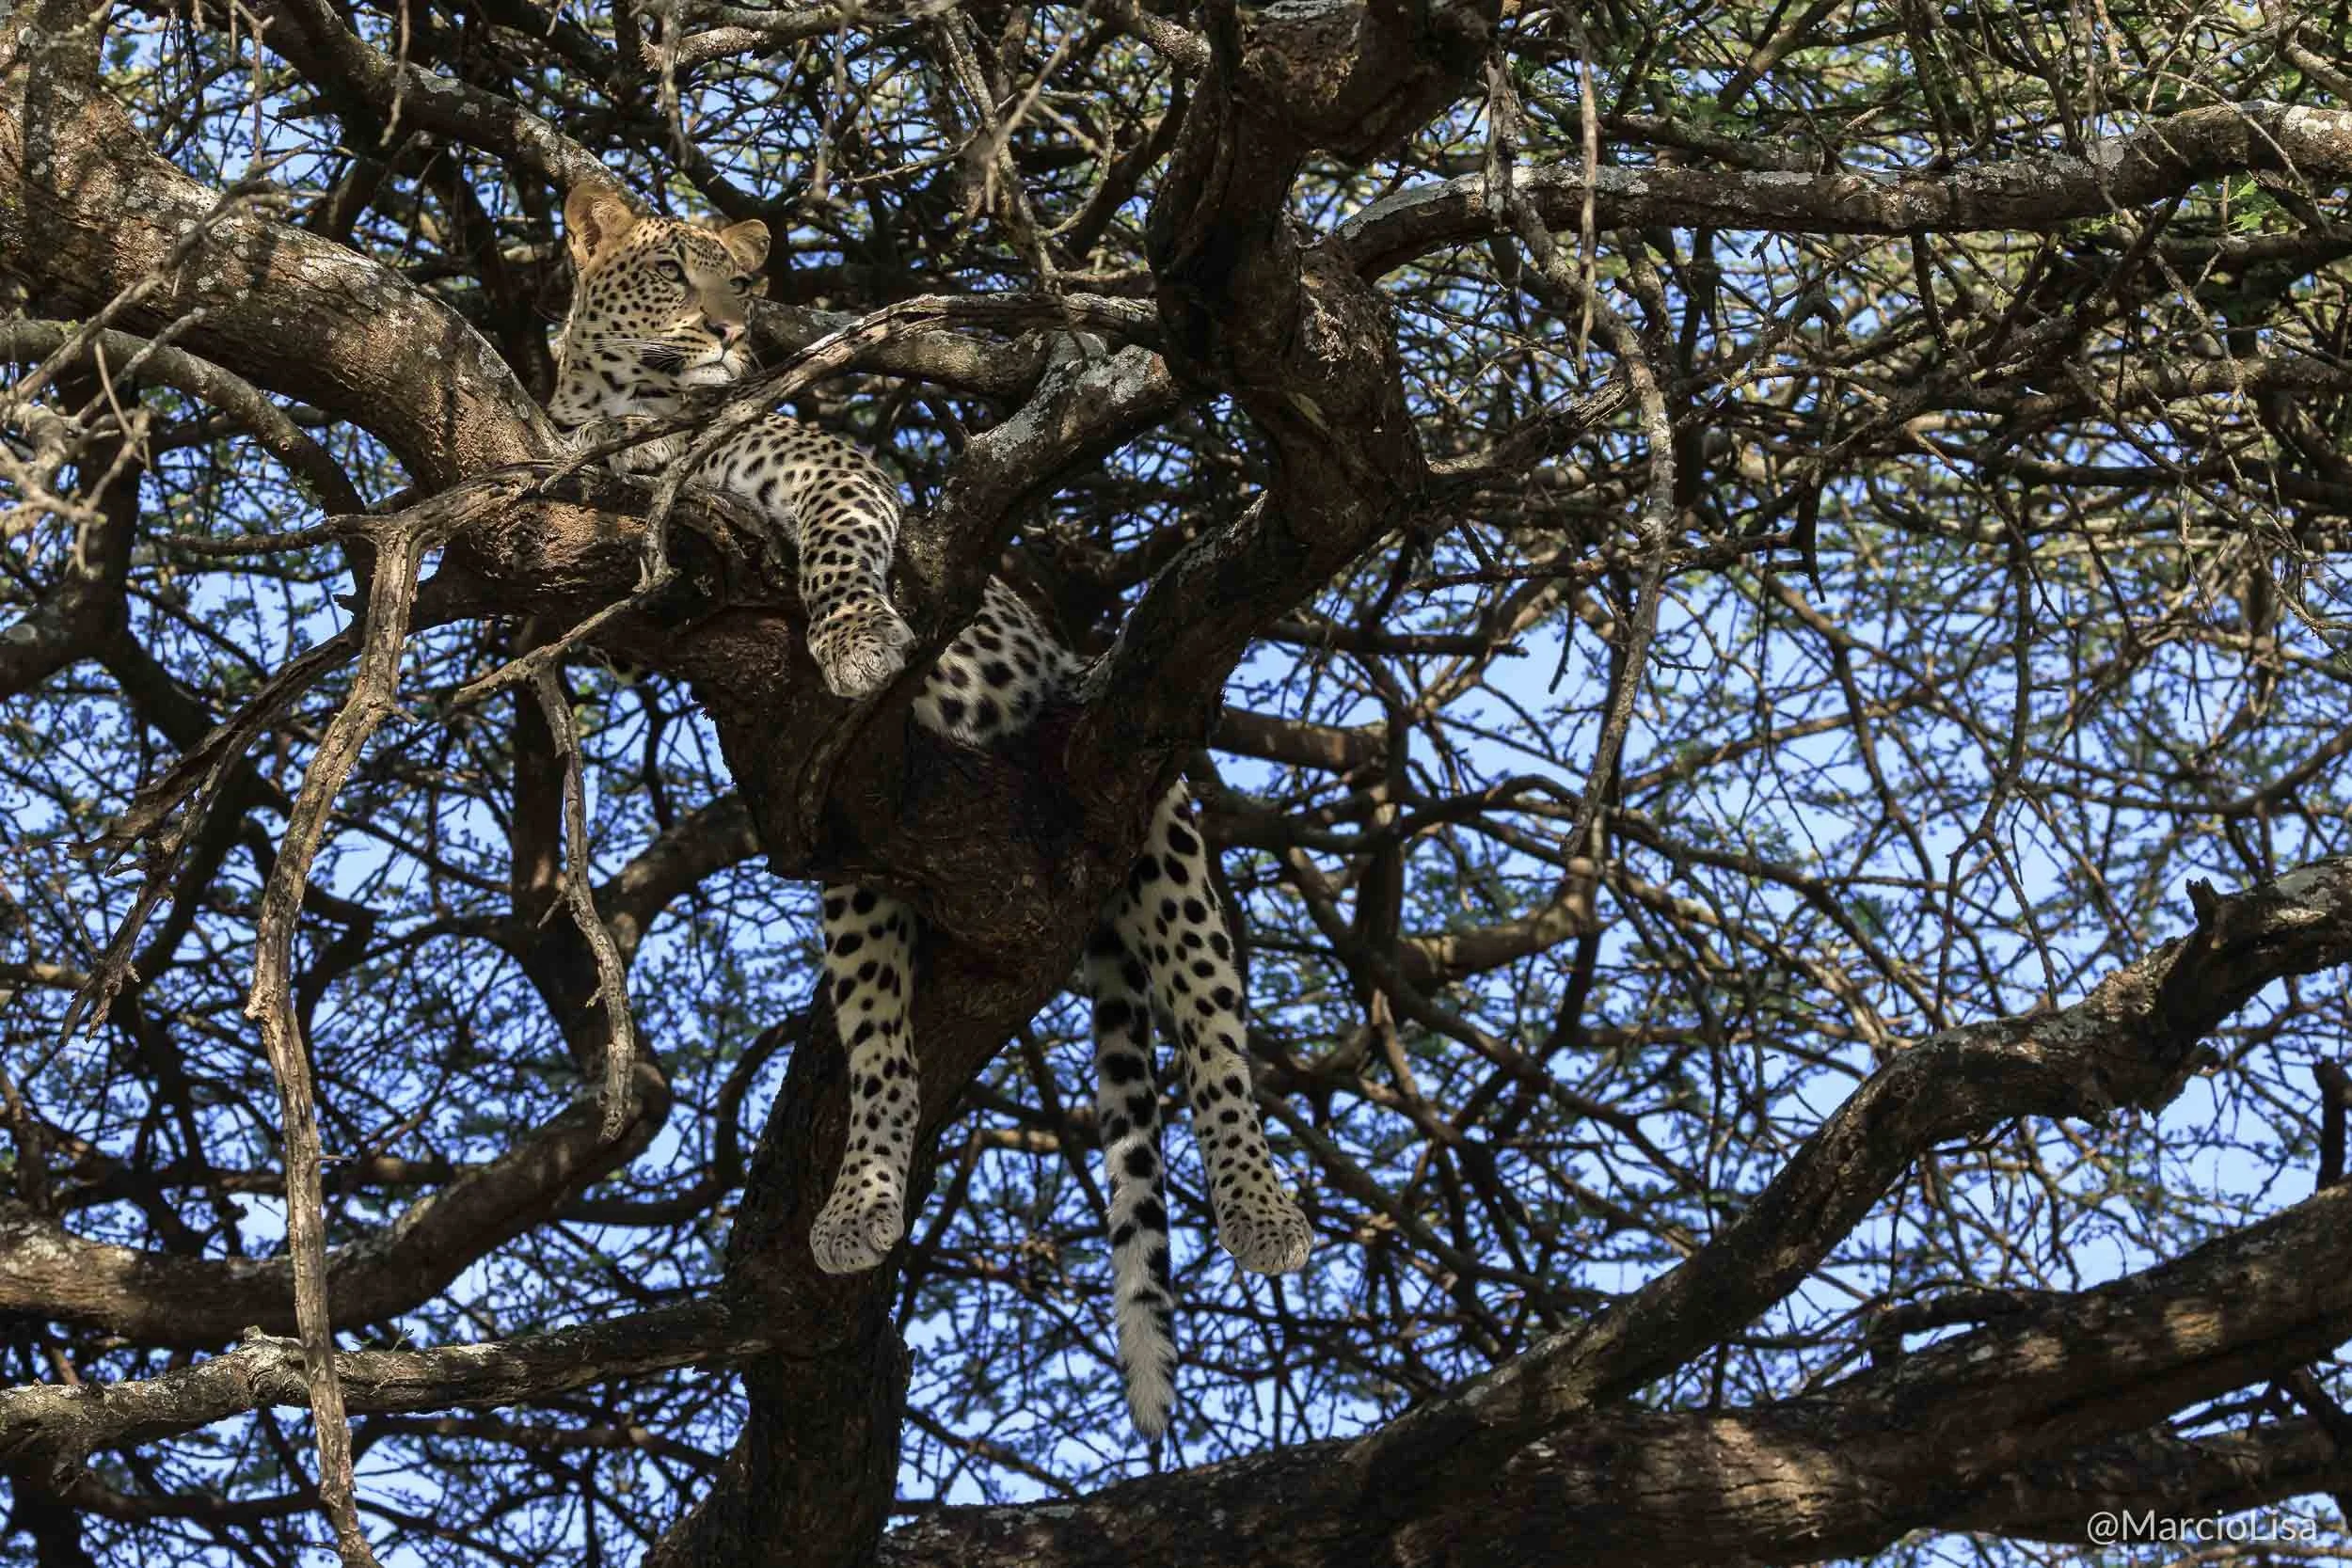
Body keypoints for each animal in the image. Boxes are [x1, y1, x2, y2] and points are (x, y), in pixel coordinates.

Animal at [548, 181, 1312, 1438]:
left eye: (743, 281)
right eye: (670, 272)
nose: (730, 333)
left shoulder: (828, 473)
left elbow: (843, 550)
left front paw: (859, 639)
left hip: (1156, 822)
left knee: (1213, 1037)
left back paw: (1263, 1210)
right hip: (862, 878)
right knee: (884, 1055)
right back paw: (859, 1201)